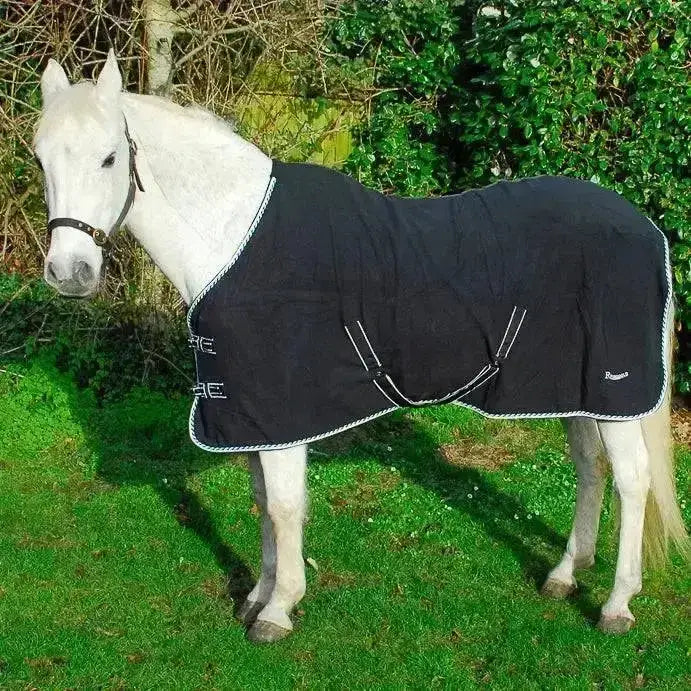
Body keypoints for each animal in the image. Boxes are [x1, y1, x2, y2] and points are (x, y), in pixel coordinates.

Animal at [32, 51, 688, 643]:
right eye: (41, 158)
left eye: (109, 157)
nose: (70, 273)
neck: (234, 236)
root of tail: (644, 227)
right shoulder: (248, 415)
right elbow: (260, 500)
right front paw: (258, 594)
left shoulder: (282, 414)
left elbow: (284, 506)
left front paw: (278, 610)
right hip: (570, 389)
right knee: (589, 468)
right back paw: (564, 575)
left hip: (613, 393)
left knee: (633, 481)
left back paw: (616, 604)